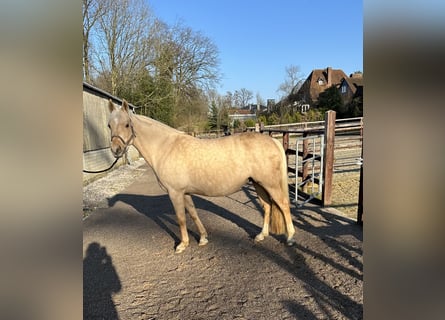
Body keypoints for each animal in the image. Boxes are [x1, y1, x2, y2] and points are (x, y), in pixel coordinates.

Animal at [107, 100, 294, 252]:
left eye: (126, 124)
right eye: (109, 125)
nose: (116, 150)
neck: (165, 147)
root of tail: (273, 141)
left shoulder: (175, 192)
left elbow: (181, 218)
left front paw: (182, 244)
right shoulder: (185, 192)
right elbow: (193, 213)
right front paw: (203, 238)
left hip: (270, 184)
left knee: (283, 205)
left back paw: (290, 238)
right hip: (258, 183)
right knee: (267, 206)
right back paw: (261, 235)